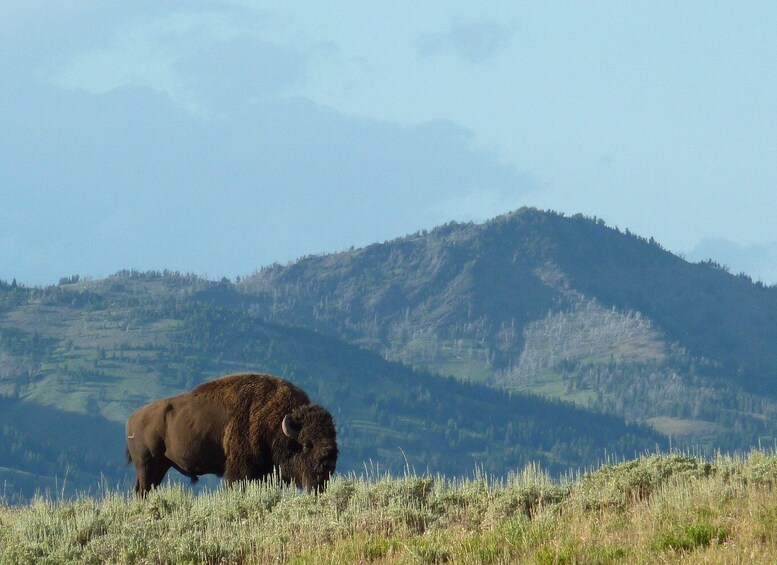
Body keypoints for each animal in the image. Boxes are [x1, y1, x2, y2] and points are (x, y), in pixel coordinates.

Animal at [124, 372, 336, 496]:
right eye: (307, 444)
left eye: (333, 438)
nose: (328, 464)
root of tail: (133, 418)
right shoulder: (240, 471)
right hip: (147, 464)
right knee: (142, 491)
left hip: (160, 465)